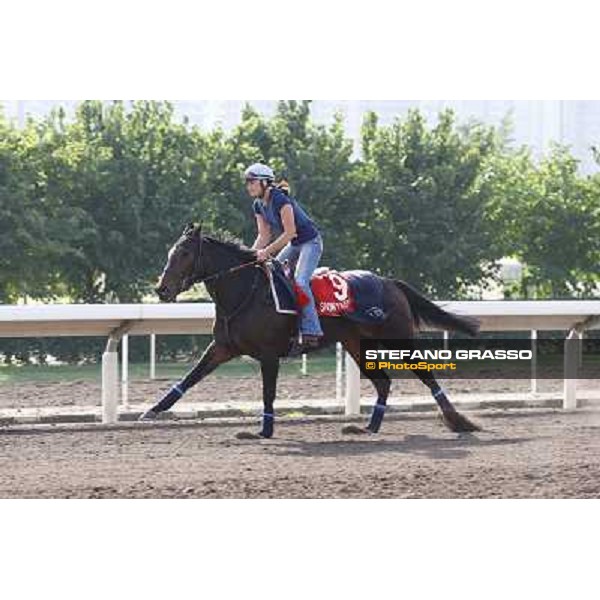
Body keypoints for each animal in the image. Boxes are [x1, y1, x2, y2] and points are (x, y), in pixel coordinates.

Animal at [138, 223, 480, 438]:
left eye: (184, 254)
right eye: (171, 252)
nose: (161, 289)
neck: (245, 292)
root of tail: (390, 282)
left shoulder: (269, 354)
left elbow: (268, 392)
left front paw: (264, 431)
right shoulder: (223, 347)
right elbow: (189, 378)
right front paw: (152, 411)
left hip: (397, 338)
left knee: (425, 374)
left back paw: (459, 421)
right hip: (357, 343)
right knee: (383, 383)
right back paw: (368, 427)